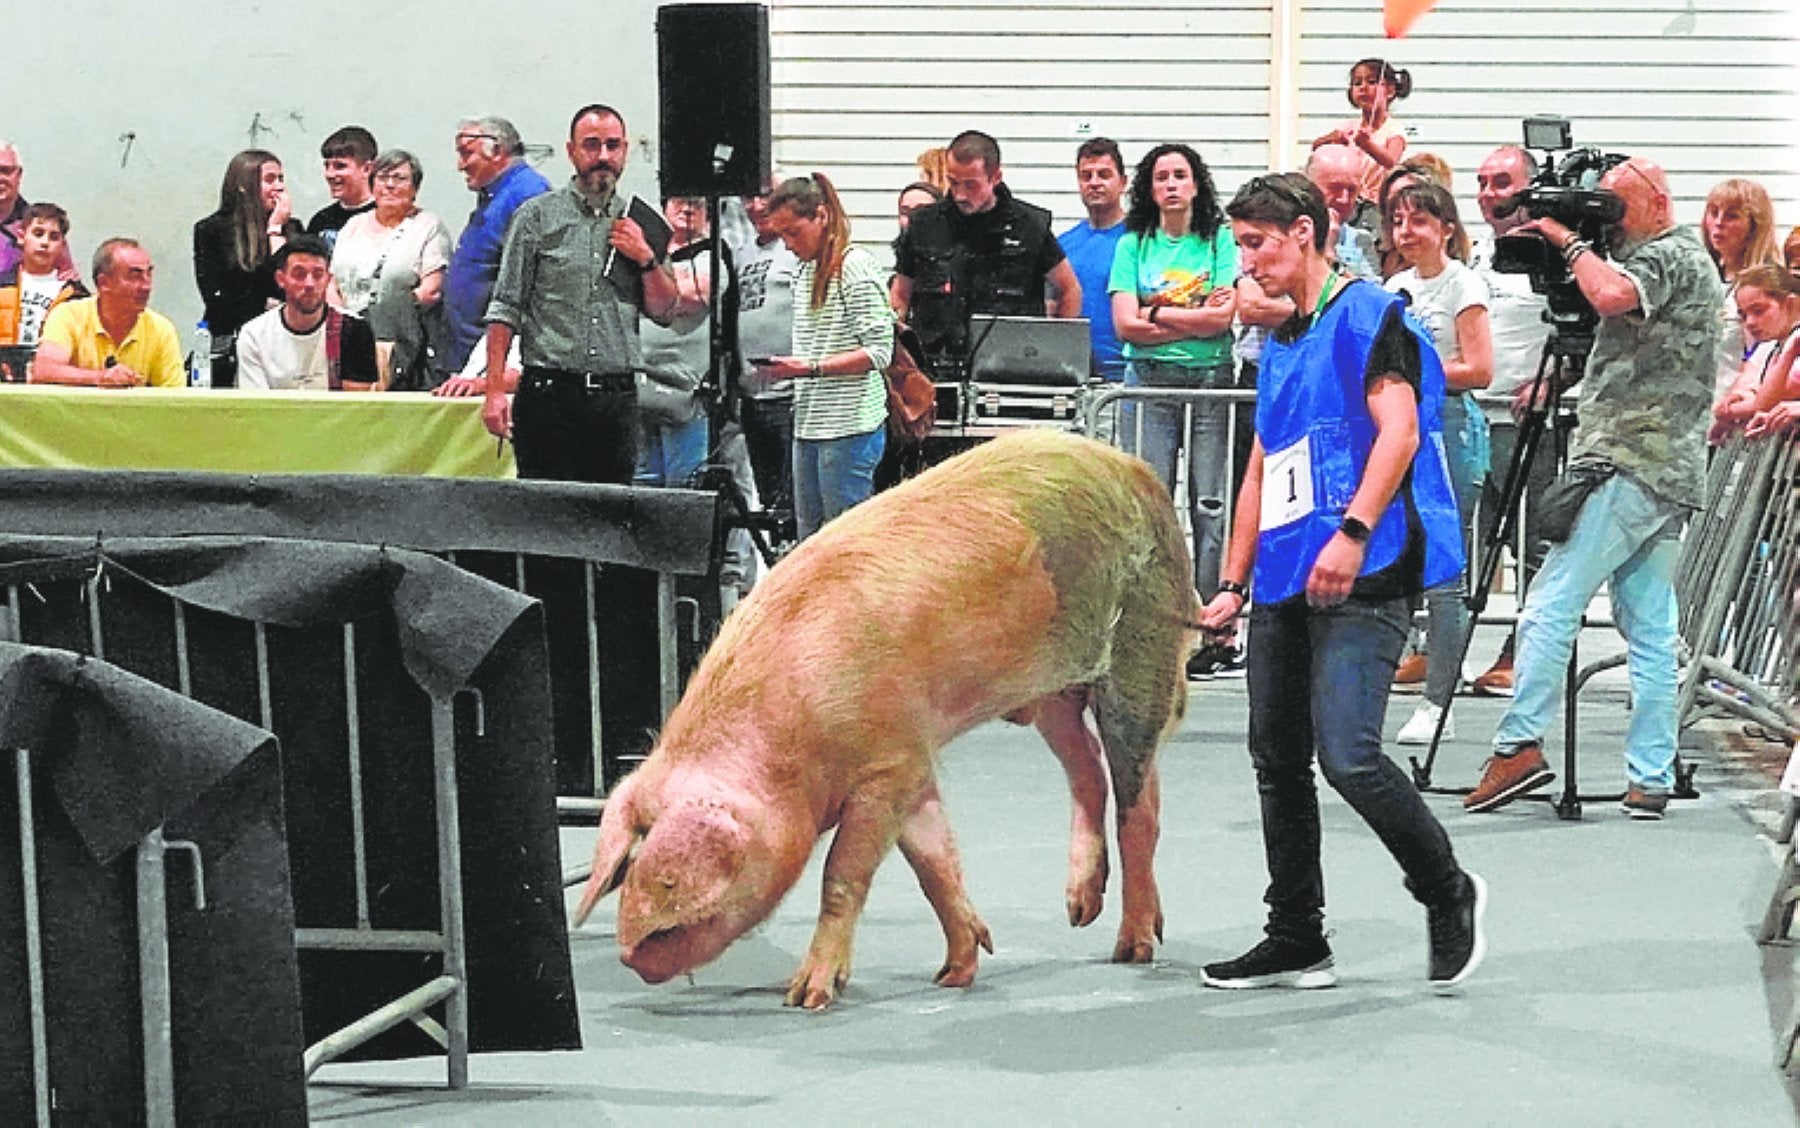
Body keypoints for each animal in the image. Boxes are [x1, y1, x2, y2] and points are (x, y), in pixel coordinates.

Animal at [576, 428, 1195, 1007]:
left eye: (666, 876)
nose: (630, 956)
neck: (796, 743)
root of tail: (1141, 475)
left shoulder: (885, 764)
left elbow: (842, 873)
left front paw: (807, 996)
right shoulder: (911, 760)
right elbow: (933, 862)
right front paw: (954, 974)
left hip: (1142, 645)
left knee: (1137, 802)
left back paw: (1132, 949)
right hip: (1050, 693)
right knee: (1088, 767)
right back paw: (1079, 911)